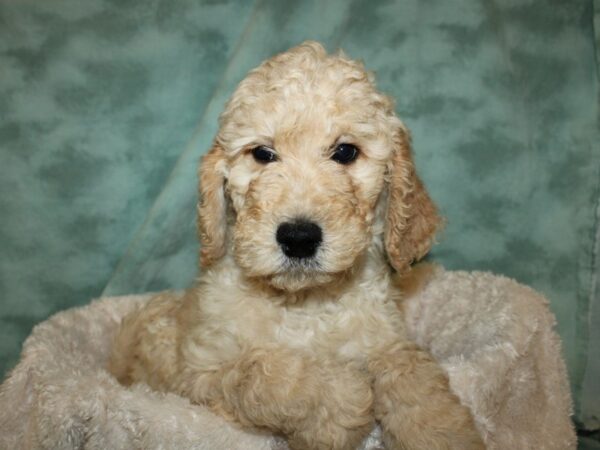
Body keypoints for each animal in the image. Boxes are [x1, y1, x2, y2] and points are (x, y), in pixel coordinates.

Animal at [108, 42, 482, 450]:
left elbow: (409, 369)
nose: (299, 238)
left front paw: (440, 429)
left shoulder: (383, 336)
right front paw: (341, 397)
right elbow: (266, 374)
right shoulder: (199, 373)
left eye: (345, 152)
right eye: (263, 154)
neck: (304, 302)